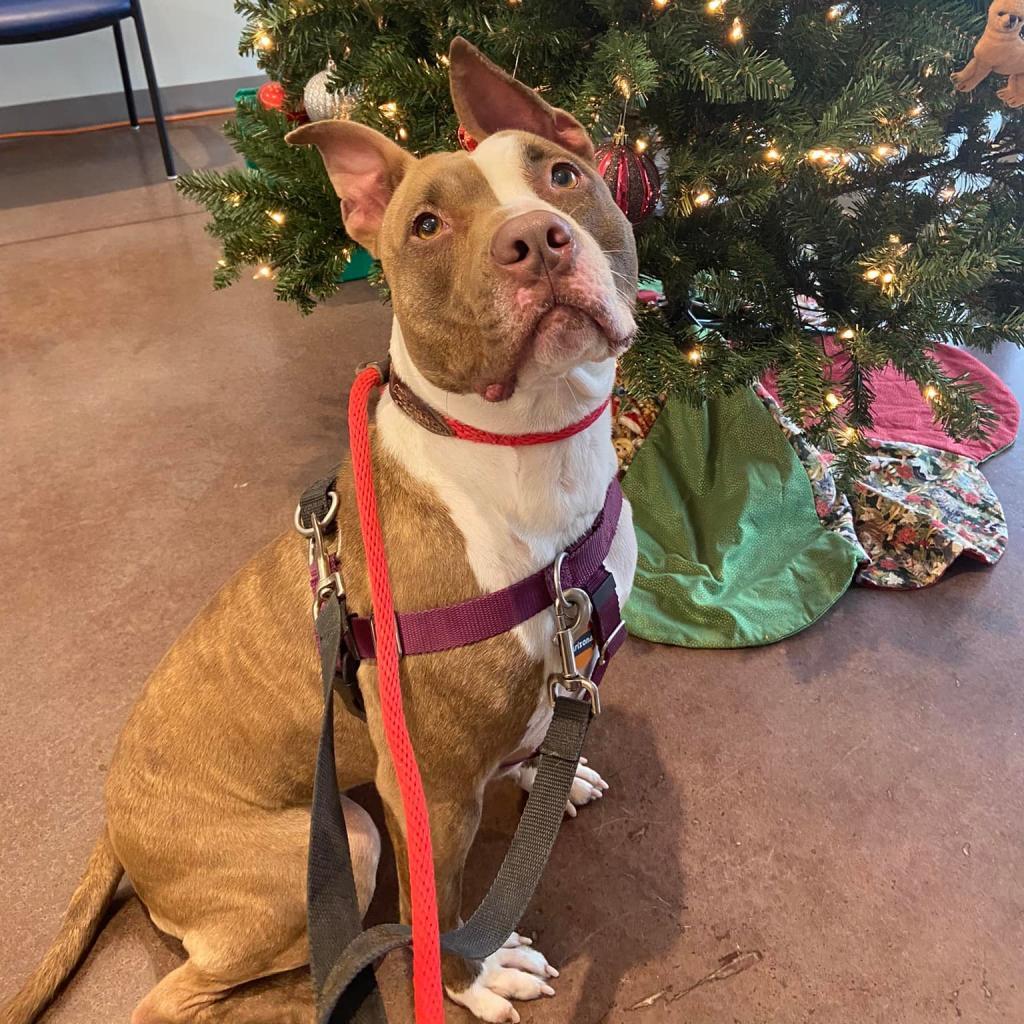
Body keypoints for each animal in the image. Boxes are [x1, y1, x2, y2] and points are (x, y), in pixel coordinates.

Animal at [4, 36, 634, 1024]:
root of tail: (112, 824)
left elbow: (533, 737)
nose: (534, 239)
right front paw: (473, 975)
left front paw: (543, 777)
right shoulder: (430, 797)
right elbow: (440, 909)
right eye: (427, 226)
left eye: (563, 175)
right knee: (179, 997)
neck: (529, 448)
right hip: (346, 842)